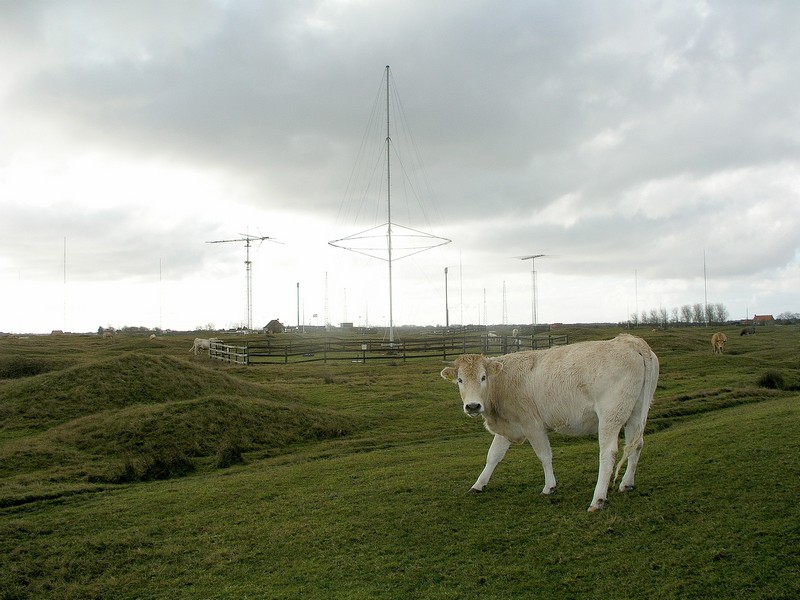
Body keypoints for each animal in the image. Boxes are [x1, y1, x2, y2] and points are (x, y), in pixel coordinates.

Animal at [440, 332, 660, 510]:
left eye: (483, 377)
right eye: (460, 380)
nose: (473, 406)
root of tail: (630, 341)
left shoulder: (532, 425)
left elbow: (544, 455)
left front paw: (549, 486)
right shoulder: (509, 426)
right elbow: (493, 456)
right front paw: (478, 485)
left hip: (610, 415)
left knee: (609, 453)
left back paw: (597, 500)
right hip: (635, 413)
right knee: (636, 444)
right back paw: (626, 483)